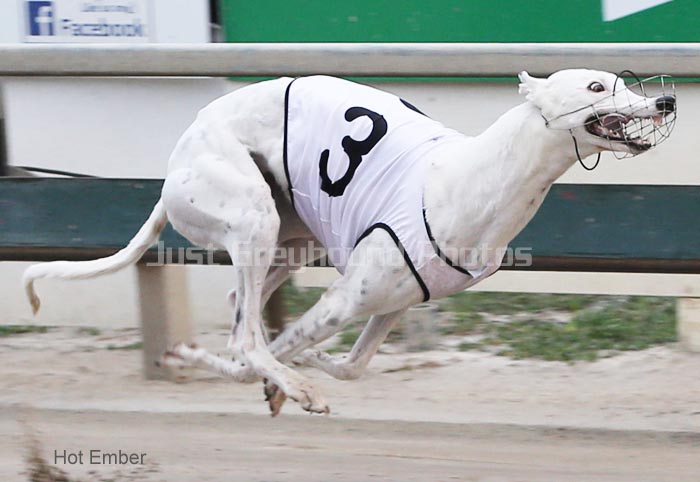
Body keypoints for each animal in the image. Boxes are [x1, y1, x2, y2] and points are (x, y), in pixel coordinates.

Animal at [23, 69, 676, 416]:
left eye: (623, 81)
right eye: (596, 85)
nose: (667, 100)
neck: (471, 177)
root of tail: (172, 169)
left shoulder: (393, 302)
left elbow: (353, 366)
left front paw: (302, 368)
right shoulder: (344, 298)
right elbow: (273, 351)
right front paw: (288, 380)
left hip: (293, 238)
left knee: (243, 313)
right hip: (251, 216)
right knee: (243, 334)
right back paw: (264, 376)